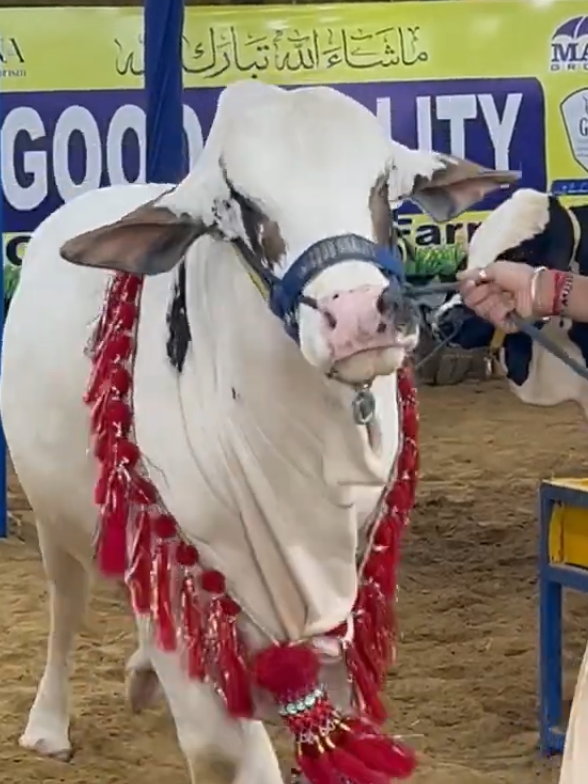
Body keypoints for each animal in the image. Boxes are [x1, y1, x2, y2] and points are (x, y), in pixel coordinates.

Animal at [0, 80, 516, 784]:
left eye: (385, 185)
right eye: (243, 204)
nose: (362, 317)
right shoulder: (190, 576)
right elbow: (224, 750)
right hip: (54, 512)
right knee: (66, 602)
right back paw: (48, 725)